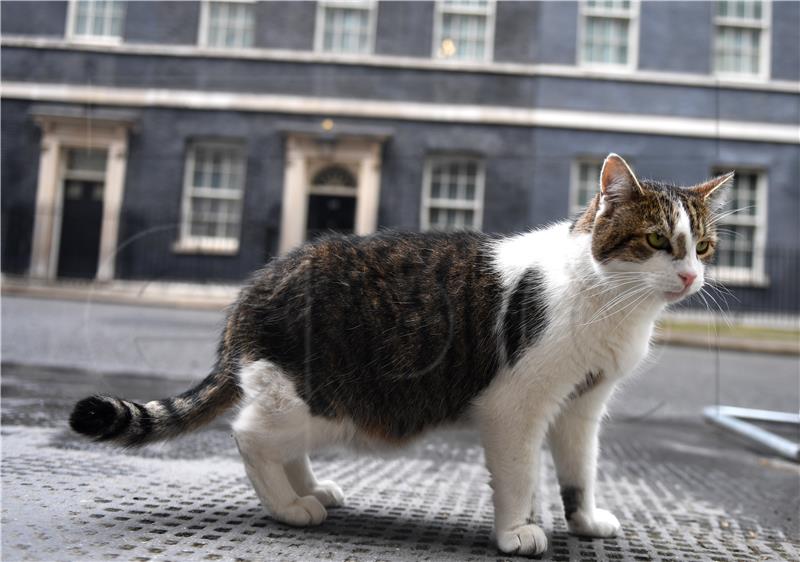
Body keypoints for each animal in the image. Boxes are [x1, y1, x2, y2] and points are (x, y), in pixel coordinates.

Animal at [70, 153, 732, 556]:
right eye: (656, 240)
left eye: (703, 245)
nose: (689, 277)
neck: (612, 302)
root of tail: (254, 290)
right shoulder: (516, 406)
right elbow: (521, 474)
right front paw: (517, 532)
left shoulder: (581, 406)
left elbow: (580, 471)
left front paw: (584, 520)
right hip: (322, 401)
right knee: (250, 435)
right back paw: (289, 508)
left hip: (313, 407)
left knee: (280, 444)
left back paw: (312, 491)